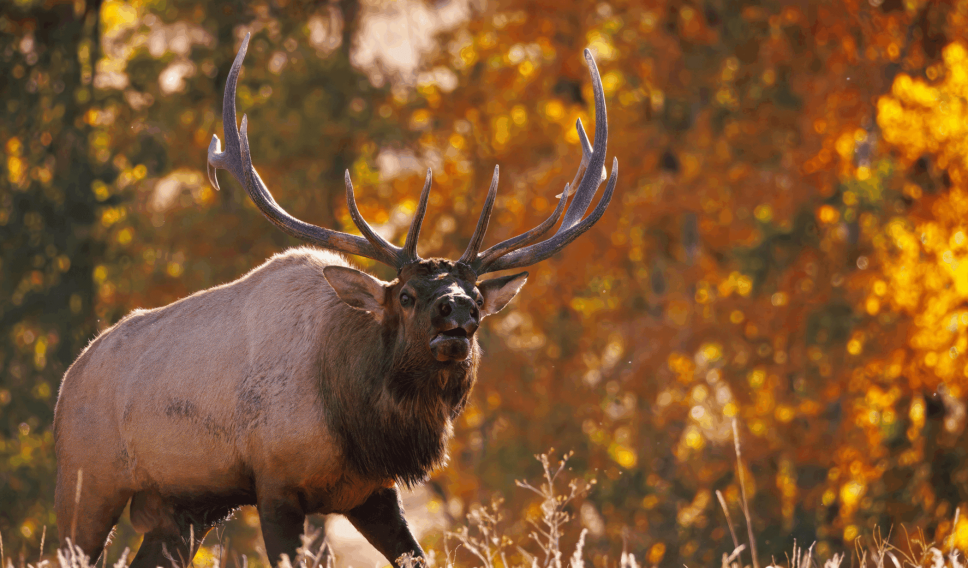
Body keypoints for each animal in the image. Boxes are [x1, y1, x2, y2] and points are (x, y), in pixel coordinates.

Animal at [53, 33, 617, 568]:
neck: (357, 421)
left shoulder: (371, 493)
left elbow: (417, 556)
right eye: (406, 295)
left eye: (477, 294)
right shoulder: (275, 483)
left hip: (183, 507)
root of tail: (69, 378)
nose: (458, 310)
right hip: (86, 484)